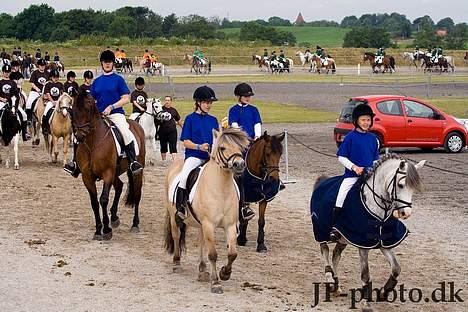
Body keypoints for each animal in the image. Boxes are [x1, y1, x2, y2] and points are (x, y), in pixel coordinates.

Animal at [70, 91, 144, 240]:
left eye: (87, 109)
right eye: (73, 110)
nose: (79, 136)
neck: (93, 143)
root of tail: (135, 124)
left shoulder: (107, 173)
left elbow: (103, 199)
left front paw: (106, 230)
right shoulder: (87, 176)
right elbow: (94, 202)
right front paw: (98, 230)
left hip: (136, 170)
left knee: (137, 194)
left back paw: (135, 224)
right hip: (116, 172)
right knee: (120, 186)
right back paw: (114, 218)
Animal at [165, 126, 252, 292]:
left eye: (240, 148)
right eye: (222, 148)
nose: (239, 165)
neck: (221, 188)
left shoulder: (230, 225)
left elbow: (232, 253)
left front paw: (225, 273)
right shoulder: (209, 224)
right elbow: (213, 254)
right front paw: (216, 282)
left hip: (201, 224)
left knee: (201, 242)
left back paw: (202, 269)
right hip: (175, 217)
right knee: (176, 236)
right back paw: (177, 263)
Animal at [310, 154, 424, 312]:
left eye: (413, 188)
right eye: (401, 185)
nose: (405, 213)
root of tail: (323, 181)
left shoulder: (384, 242)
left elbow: (396, 268)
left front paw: (384, 292)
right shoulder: (363, 245)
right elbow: (365, 274)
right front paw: (366, 303)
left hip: (343, 239)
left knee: (336, 256)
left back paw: (336, 285)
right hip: (320, 230)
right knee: (325, 251)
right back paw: (330, 279)